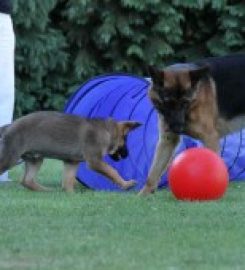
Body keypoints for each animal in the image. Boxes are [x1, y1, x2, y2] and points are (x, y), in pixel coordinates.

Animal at [0, 112, 141, 192]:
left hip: (35, 159)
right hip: (10, 158)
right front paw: (126, 184)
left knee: (26, 181)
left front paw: (71, 195)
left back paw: (46, 190)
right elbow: (112, 171)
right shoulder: (94, 161)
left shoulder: (71, 162)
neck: (107, 131)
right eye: (125, 141)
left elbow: (68, 181)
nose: (127, 155)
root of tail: (8, 126)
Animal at [139, 54, 245, 194]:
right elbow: (153, 172)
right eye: (168, 103)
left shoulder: (210, 138)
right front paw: (143, 194)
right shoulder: (167, 141)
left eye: (185, 102)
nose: (177, 128)